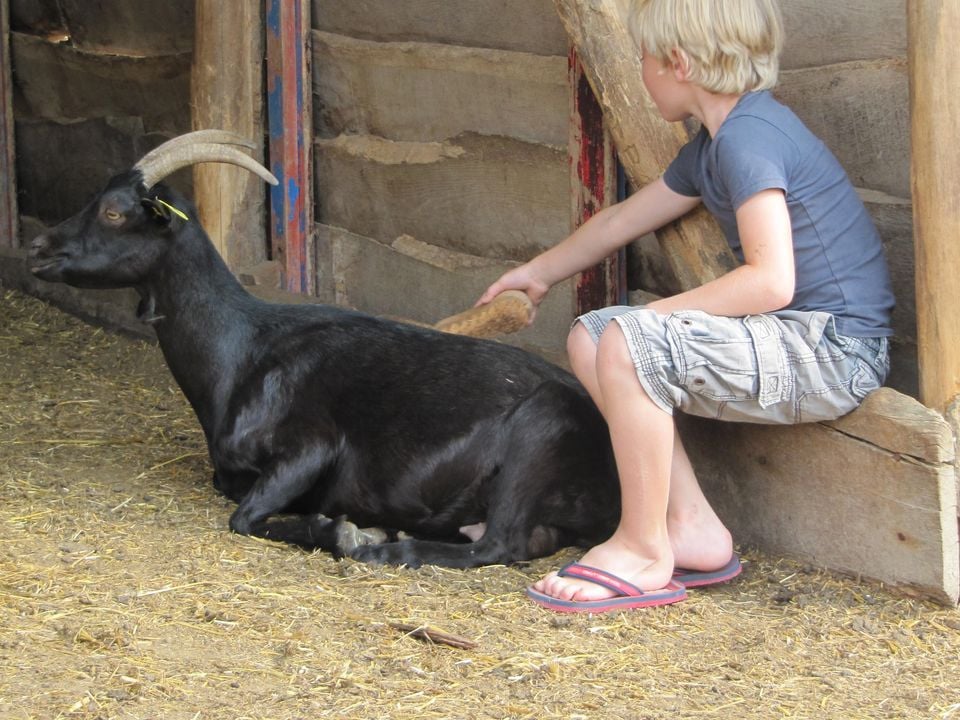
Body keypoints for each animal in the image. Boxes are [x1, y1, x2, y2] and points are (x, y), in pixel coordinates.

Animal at [28, 131, 624, 568]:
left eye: (113, 212)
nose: (37, 247)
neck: (241, 354)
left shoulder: (311, 445)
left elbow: (243, 518)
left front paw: (345, 533)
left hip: (538, 431)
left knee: (500, 544)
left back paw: (387, 548)